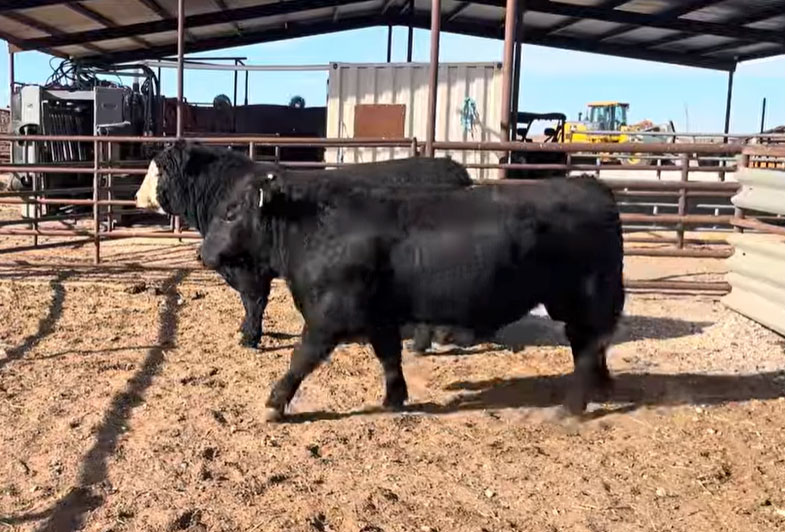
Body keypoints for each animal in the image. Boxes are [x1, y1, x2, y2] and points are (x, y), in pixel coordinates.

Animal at [134, 140, 472, 348]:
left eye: (159, 169)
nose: (137, 197)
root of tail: (454, 169)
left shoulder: (249, 268)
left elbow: (253, 300)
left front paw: (249, 337)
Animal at [200, 169, 625, 420]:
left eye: (231, 212)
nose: (203, 253)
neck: (317, 229)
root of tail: (590, 184)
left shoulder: (329, 316)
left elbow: (301, 358)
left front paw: (275, 403)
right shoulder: (380, 316)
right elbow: (389, 356)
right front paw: (394, 398)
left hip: (586, 297)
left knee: (588, 348)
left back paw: (573, 406)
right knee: (588, 345)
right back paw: (599, 388)